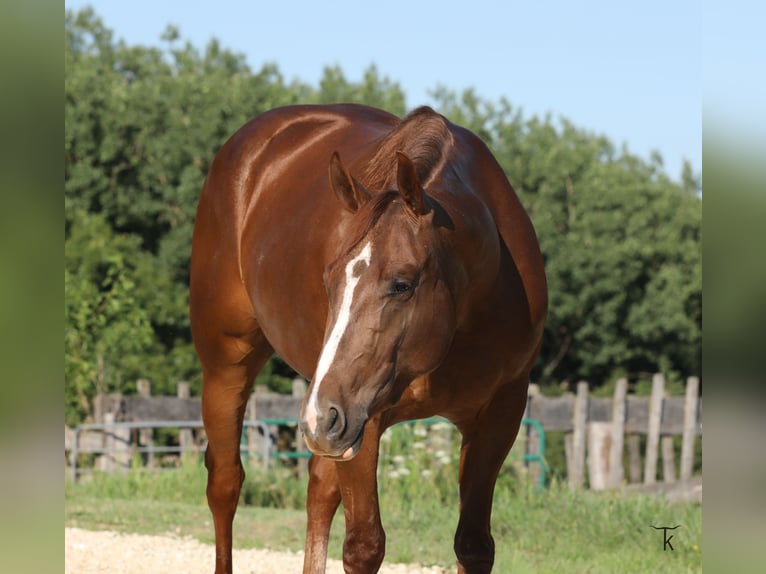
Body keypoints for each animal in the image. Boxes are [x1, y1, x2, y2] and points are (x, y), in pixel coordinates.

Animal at [189, 103, 547, 574]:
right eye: (328, 279)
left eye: (402, 284)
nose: (322, 418)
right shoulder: (363, 417)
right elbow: (364, 546)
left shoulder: (499, 415)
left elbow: (473, 545)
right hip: (234, 369)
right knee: (225, 484)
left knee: (318, 493)